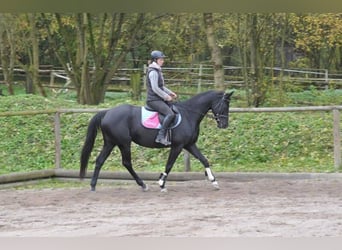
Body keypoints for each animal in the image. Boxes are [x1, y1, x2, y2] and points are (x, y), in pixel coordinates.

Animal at [80, 90, 232, 191]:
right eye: (225, 106)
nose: (224, 125)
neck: (189, 114)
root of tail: (107, 112)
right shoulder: (178, 146)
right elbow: (169, 165)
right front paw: (161, 183)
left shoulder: (189, 145)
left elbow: (204, 160)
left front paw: (213, 181)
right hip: (124, 143)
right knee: (126, 163)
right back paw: (142, 184)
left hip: (111, 142)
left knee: (100, 160)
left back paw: (93, 186)